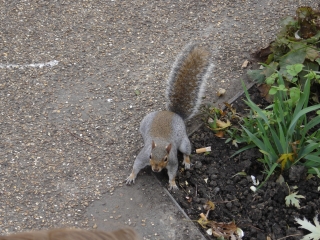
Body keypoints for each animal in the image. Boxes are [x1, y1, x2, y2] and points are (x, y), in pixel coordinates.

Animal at [126, 42, 214, 189]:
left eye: (165, 158)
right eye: (150, 156)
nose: (155, 169)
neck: (161, 143)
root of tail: (172, 113)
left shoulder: (172, 160)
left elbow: (173, 172)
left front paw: (172, 183)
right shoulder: (143, 156)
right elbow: (136, 165)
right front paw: (131, 176)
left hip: (184, 141)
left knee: (187, 151)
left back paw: (187, 161)